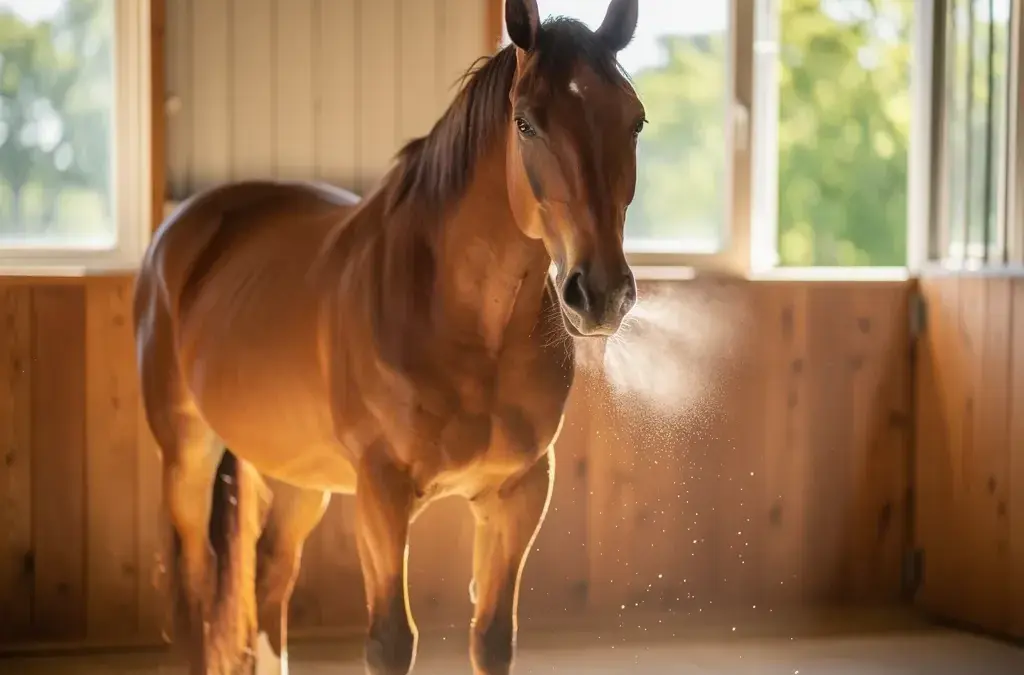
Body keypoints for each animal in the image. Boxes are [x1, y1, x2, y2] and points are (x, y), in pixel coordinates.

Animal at [133, 0, 644, 673]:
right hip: (187, 455)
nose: (602, 292)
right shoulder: (381, 493)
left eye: (635, 121)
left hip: (301, 477)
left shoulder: (519, 492)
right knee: (195, 589)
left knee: (271, 574)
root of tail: (179, 230)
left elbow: (492, 636)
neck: (464, 324)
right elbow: (390, 641)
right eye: (526, 123)